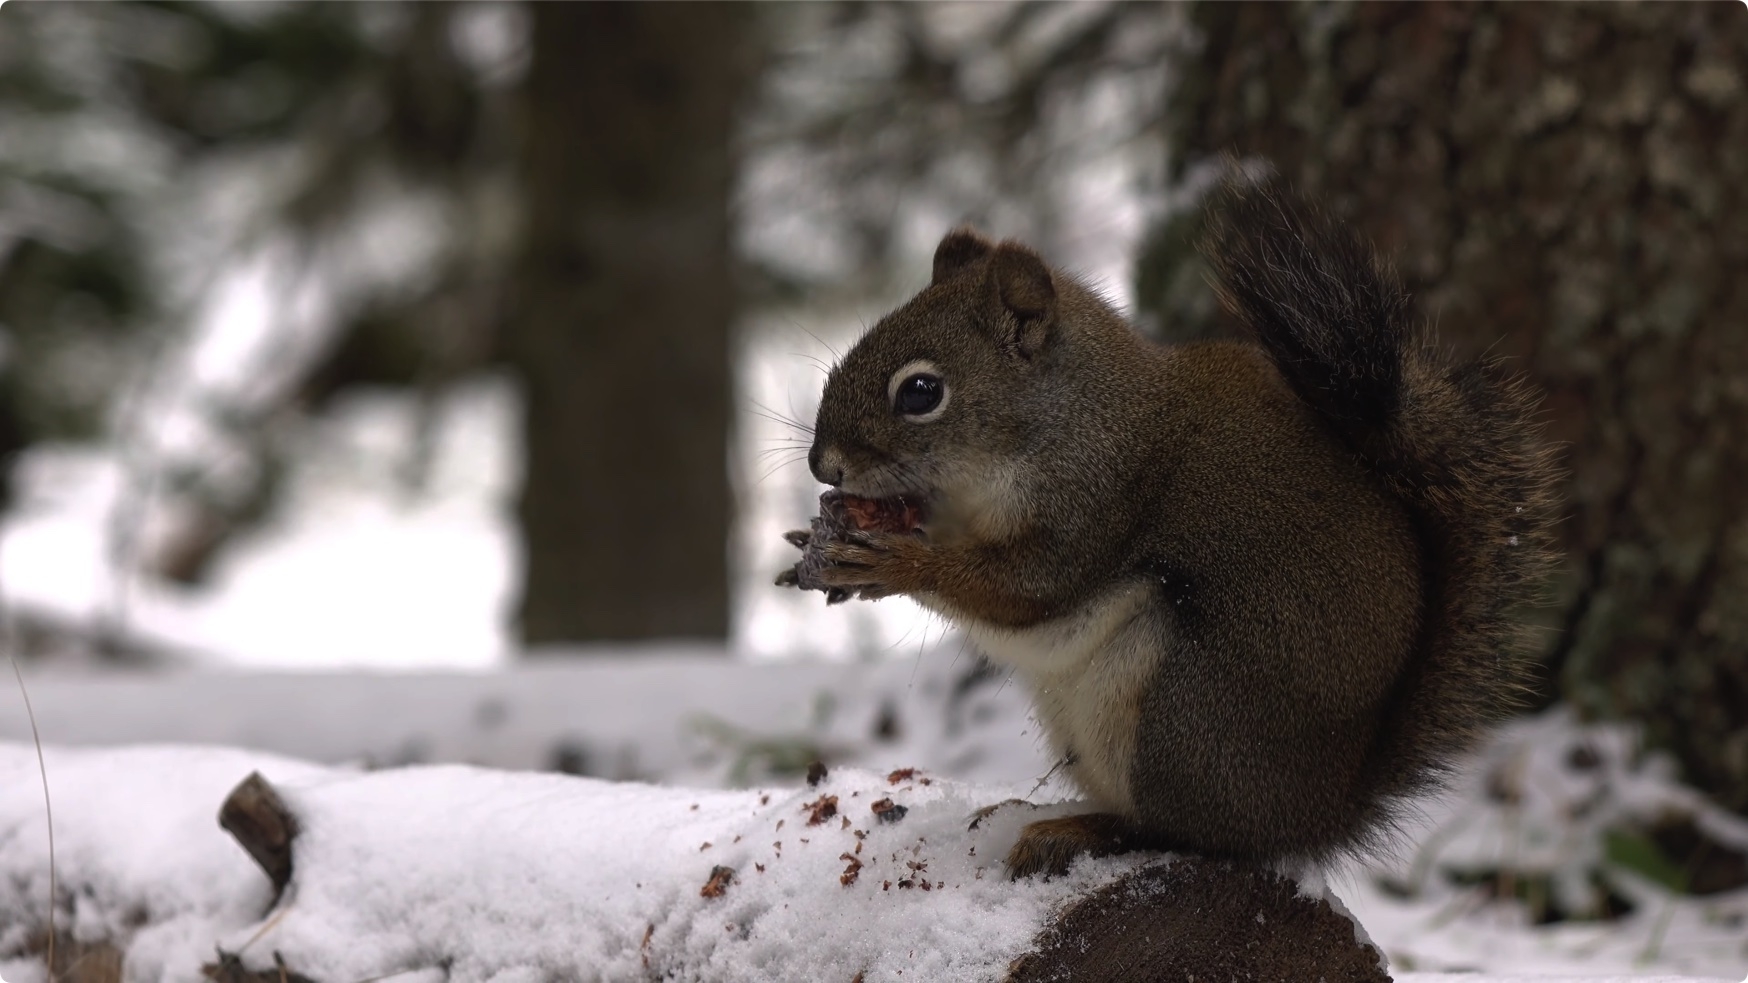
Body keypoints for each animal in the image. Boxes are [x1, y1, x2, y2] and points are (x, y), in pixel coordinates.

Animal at [779, 177, 1559, 879]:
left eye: (920, 392)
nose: (823, 464)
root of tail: (1319, 813)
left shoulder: (1099, 496)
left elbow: (1024, 589)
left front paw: (893, 563)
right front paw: (814, 550)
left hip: (1182, 714)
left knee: (1188, 833)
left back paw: (1080, 831)